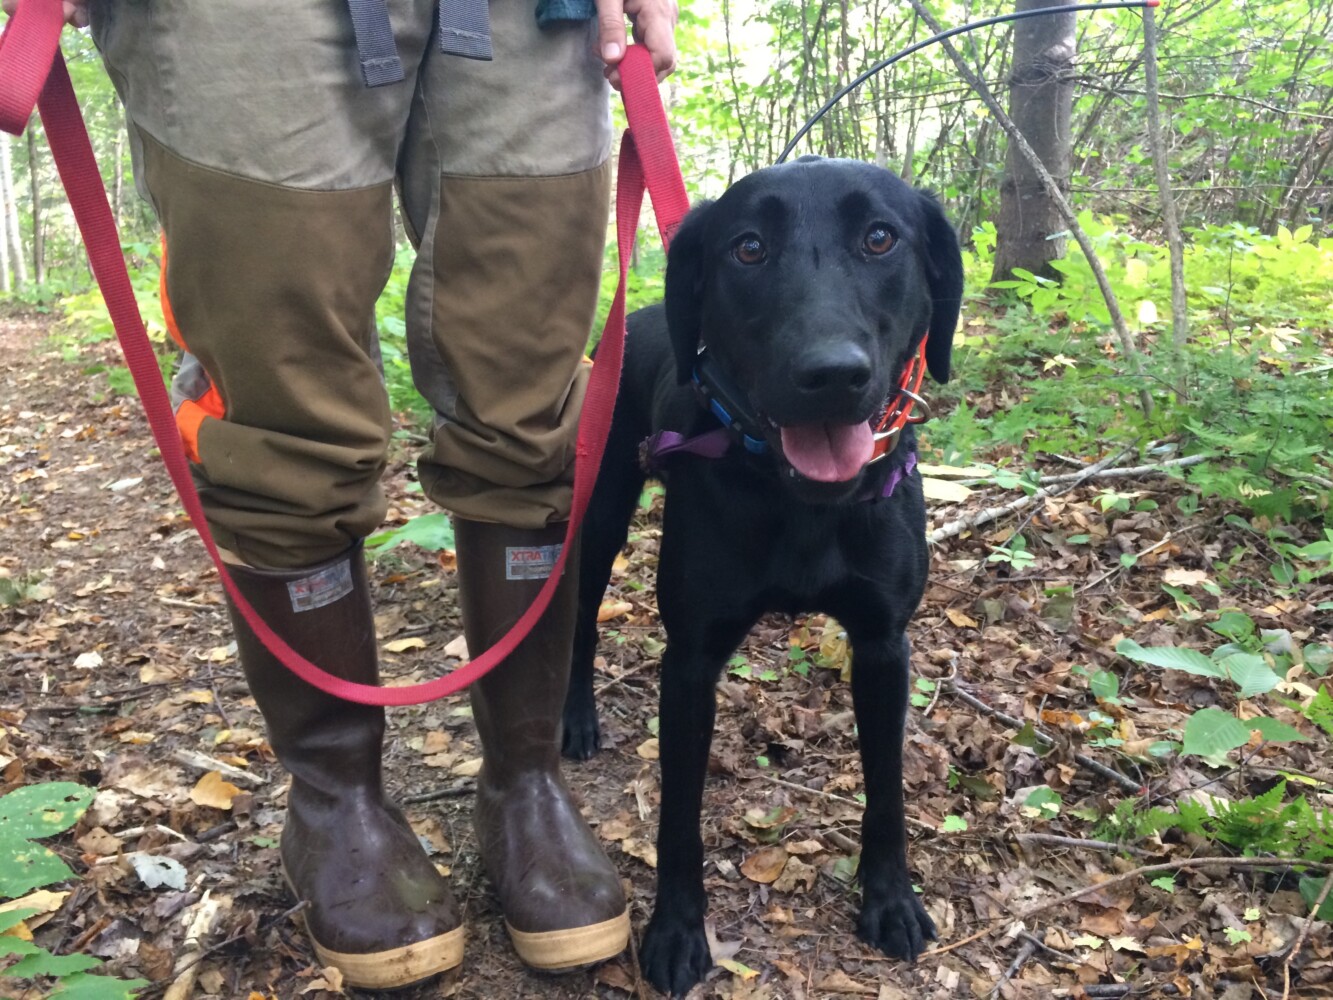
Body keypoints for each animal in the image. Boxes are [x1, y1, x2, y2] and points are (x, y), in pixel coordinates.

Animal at [559, 156, 959, 997]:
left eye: (880, 238)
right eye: (747, 248)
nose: (831, 374)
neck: (798, 499)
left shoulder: (883, 646)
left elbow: (886, 789)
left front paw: (891, 901)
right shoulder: (690, 662)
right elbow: (678, 817)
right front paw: (676, 933)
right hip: (600, 515)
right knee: (580, 621)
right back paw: (576, 719)